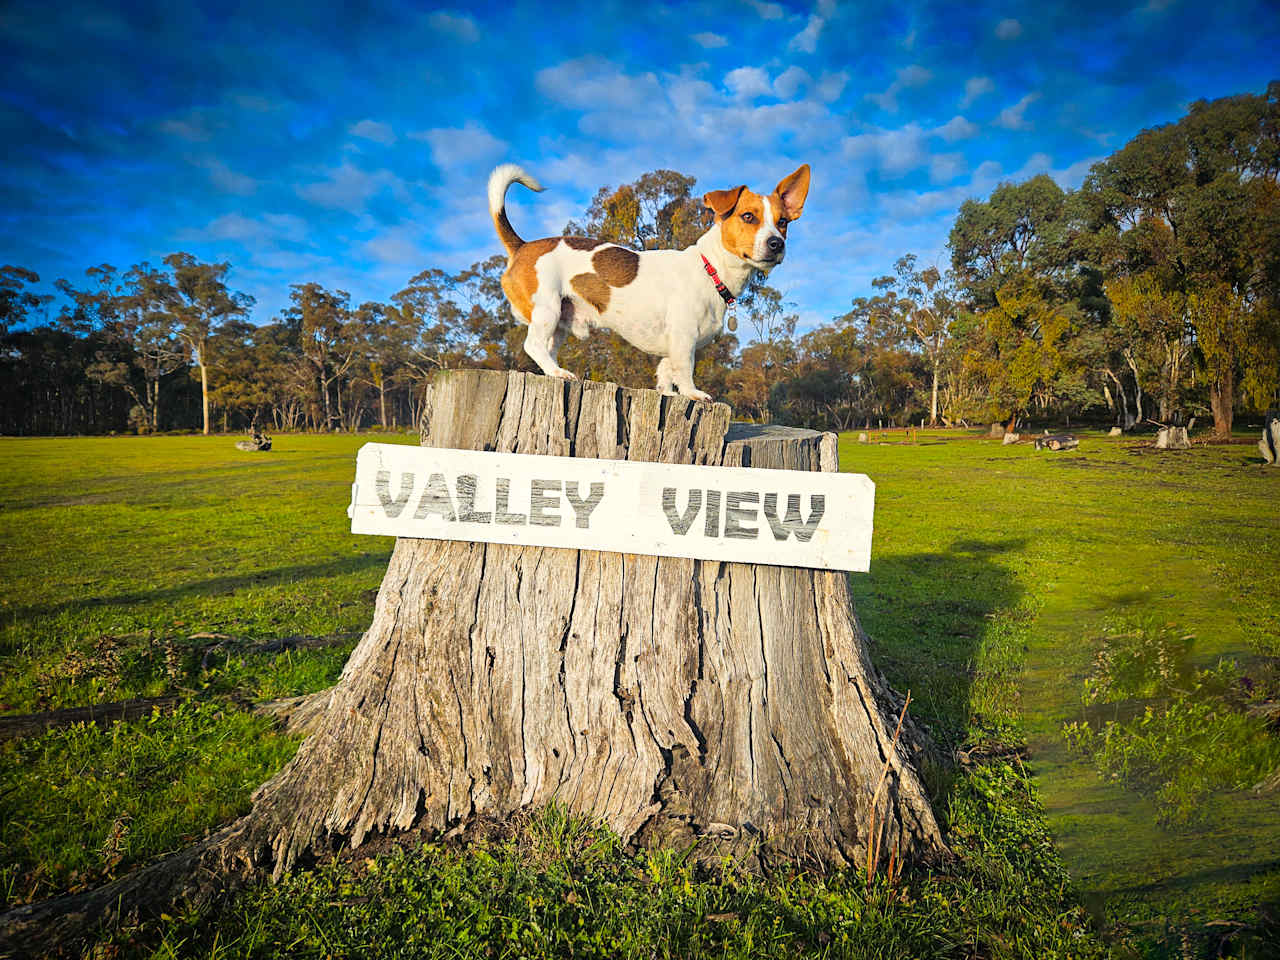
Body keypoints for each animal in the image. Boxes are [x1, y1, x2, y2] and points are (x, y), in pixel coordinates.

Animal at [488, 163, 808, 399]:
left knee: (547, 348)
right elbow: (685, 371)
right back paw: (557, 372)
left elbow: (666, 374)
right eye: (748, 216)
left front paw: (668, 394)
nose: (777, 244)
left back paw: (555, 371)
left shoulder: (673, 347)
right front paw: (693, 394)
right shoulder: (683, 339)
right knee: (532, 345)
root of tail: (522, 245)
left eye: (783, 222)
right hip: (547, 310)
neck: (710, 269)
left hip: (561, 321)